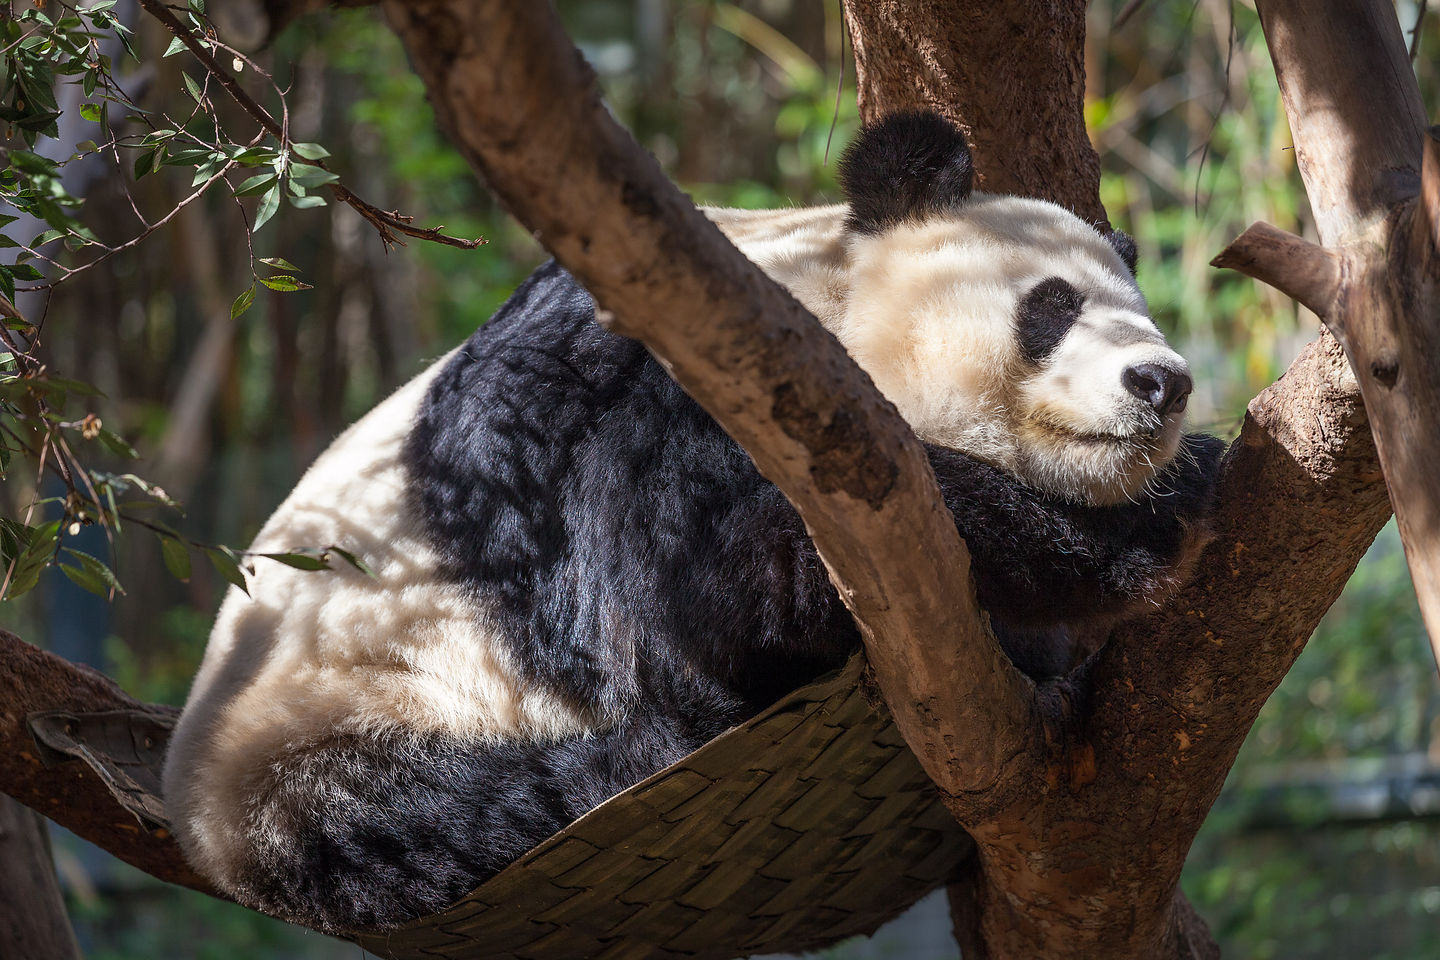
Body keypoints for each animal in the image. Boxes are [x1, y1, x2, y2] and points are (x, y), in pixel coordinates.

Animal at [163, 110, 1221, 932]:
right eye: (1053, 305)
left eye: (1144, 310)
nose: (1163, 383)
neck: (813, 296)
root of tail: (205, 827)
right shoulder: (655, 391)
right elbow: (687, 600)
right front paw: (1126, 535)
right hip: (342, 745)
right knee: (478, 806)